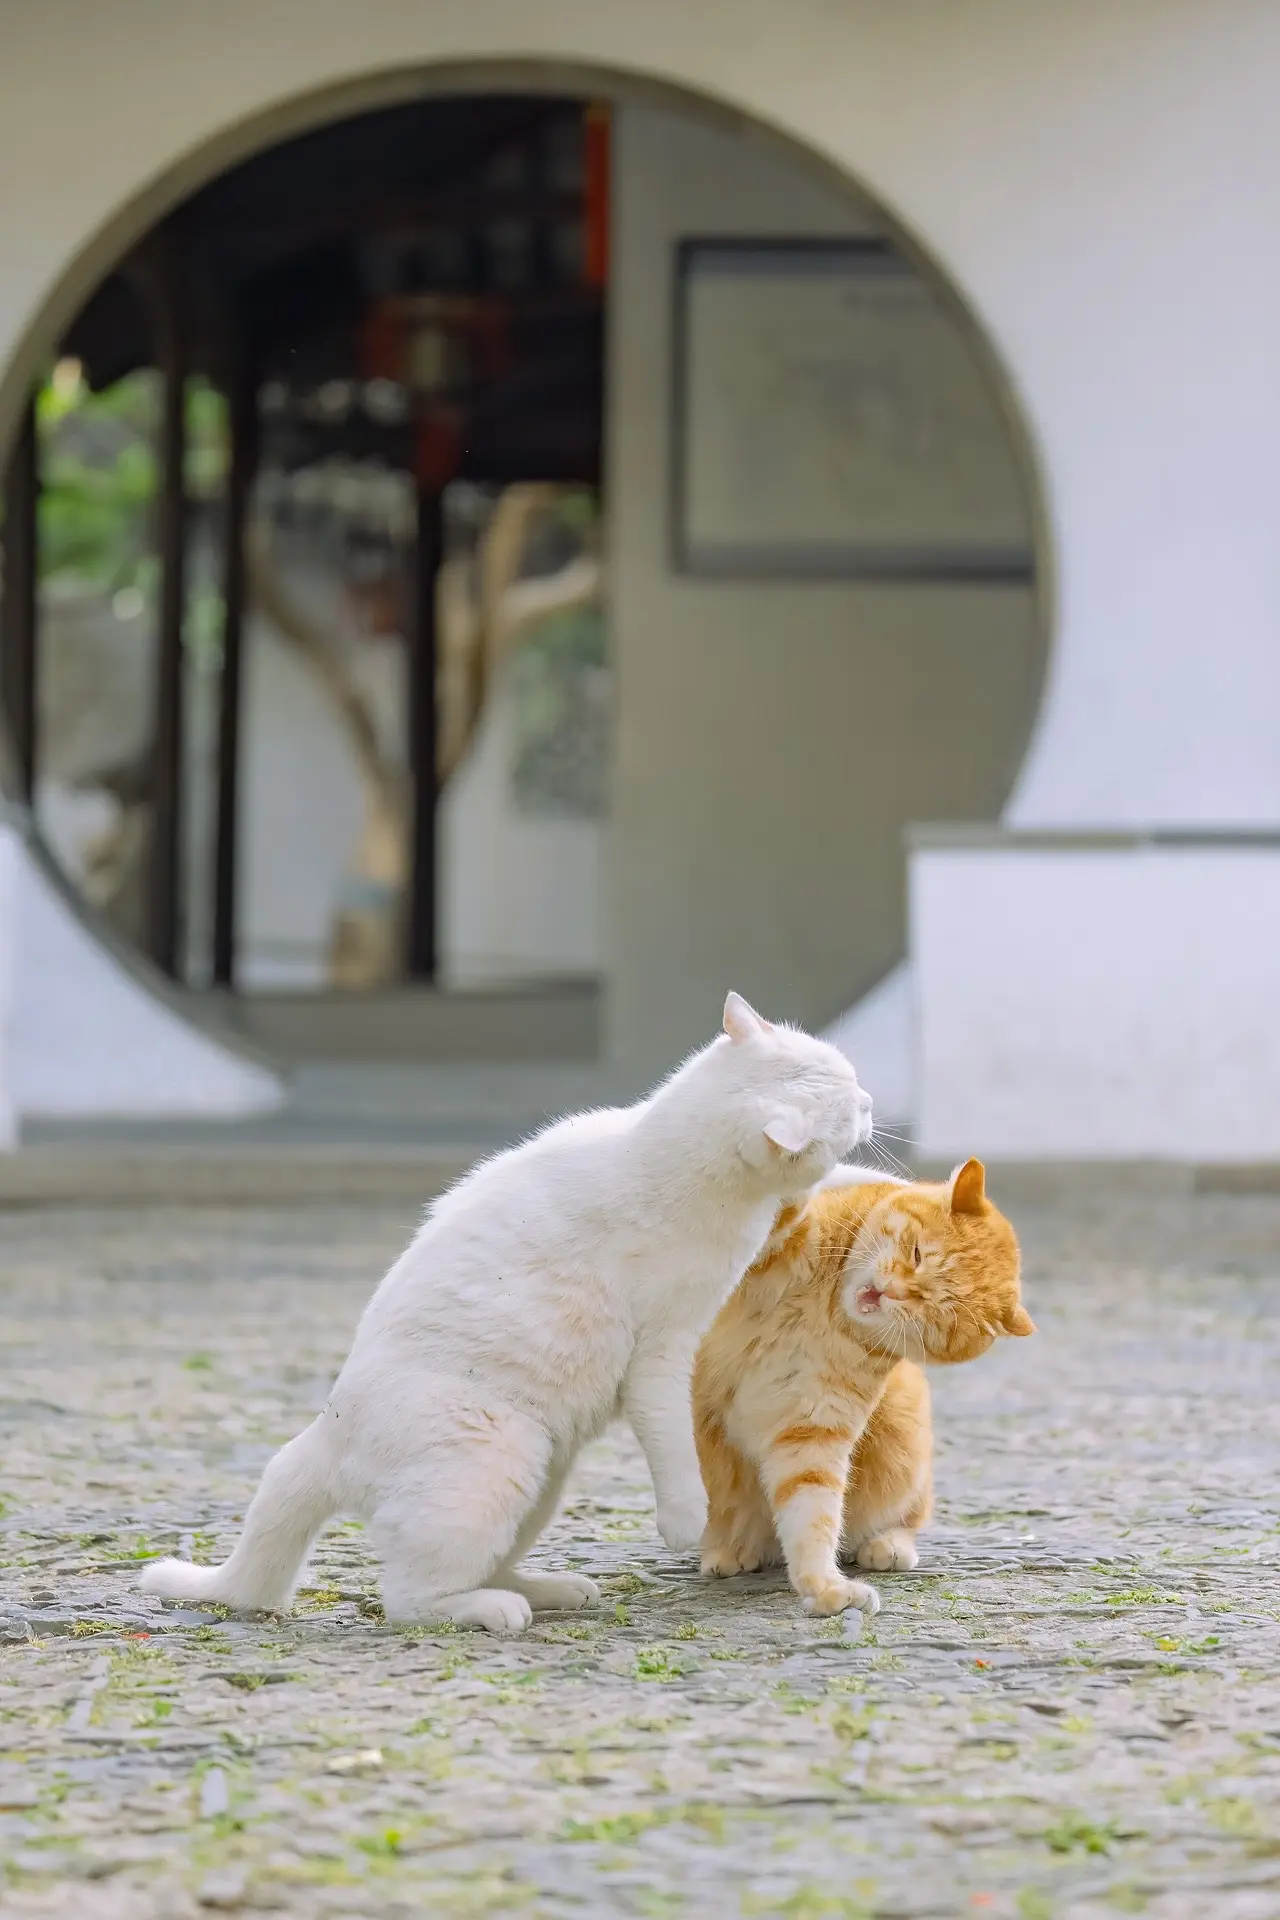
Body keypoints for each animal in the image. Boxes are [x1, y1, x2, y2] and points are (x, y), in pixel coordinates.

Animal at [144, 990, 875, 1635]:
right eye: (847, 1102)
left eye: (853, 1075)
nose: (870, 1101)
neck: (671, 1159)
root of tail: (325, 1435)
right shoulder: (661, 1354)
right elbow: (671, 1444)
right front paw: (687, 1521)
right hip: (500, 1461)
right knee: (409, 1598)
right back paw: (494, 1610)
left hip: (542, 1475)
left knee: (482, 1565)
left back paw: (549, 1589)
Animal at [690, 1159, 1028, 1612]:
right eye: (917, 1253)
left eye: (940, 1310)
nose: (894, 1291)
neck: (828, 1305)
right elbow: (780, 1210)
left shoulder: (811, 1428)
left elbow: (813, 1512)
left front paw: (823, 1586)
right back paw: (729, 1550)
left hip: (904, 1450)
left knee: (906, 1518)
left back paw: (888, 1546)